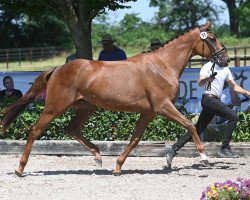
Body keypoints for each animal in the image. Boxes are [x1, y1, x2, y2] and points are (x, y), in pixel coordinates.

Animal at [0, 21, 230, 176]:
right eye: (211, 38)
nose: (225, 59)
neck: (163, 66)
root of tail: (57, 69)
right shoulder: (163, 106)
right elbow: (190, 125)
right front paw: (204, 157)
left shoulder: (148, 112)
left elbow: (135, 139)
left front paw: (118, 166)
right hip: (56, 106)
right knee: (35, 130)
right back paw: (20, 168)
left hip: (86, 106)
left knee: (71, 128)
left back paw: (98, 156)